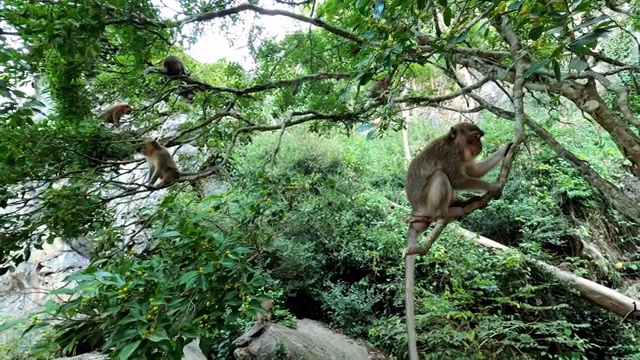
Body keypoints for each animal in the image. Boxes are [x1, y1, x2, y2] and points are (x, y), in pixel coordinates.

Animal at [404, 123, 516, 256]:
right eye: (475, 136)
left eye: (479, 136)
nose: (480, 145)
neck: (456, 146)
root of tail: (416, 210)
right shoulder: (451, 154)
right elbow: (455, 181)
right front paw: (492, 187)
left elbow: (475, 171)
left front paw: (505, 149)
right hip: (427, 204)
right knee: (440, 176)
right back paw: (446, 212)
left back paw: (462, 203)